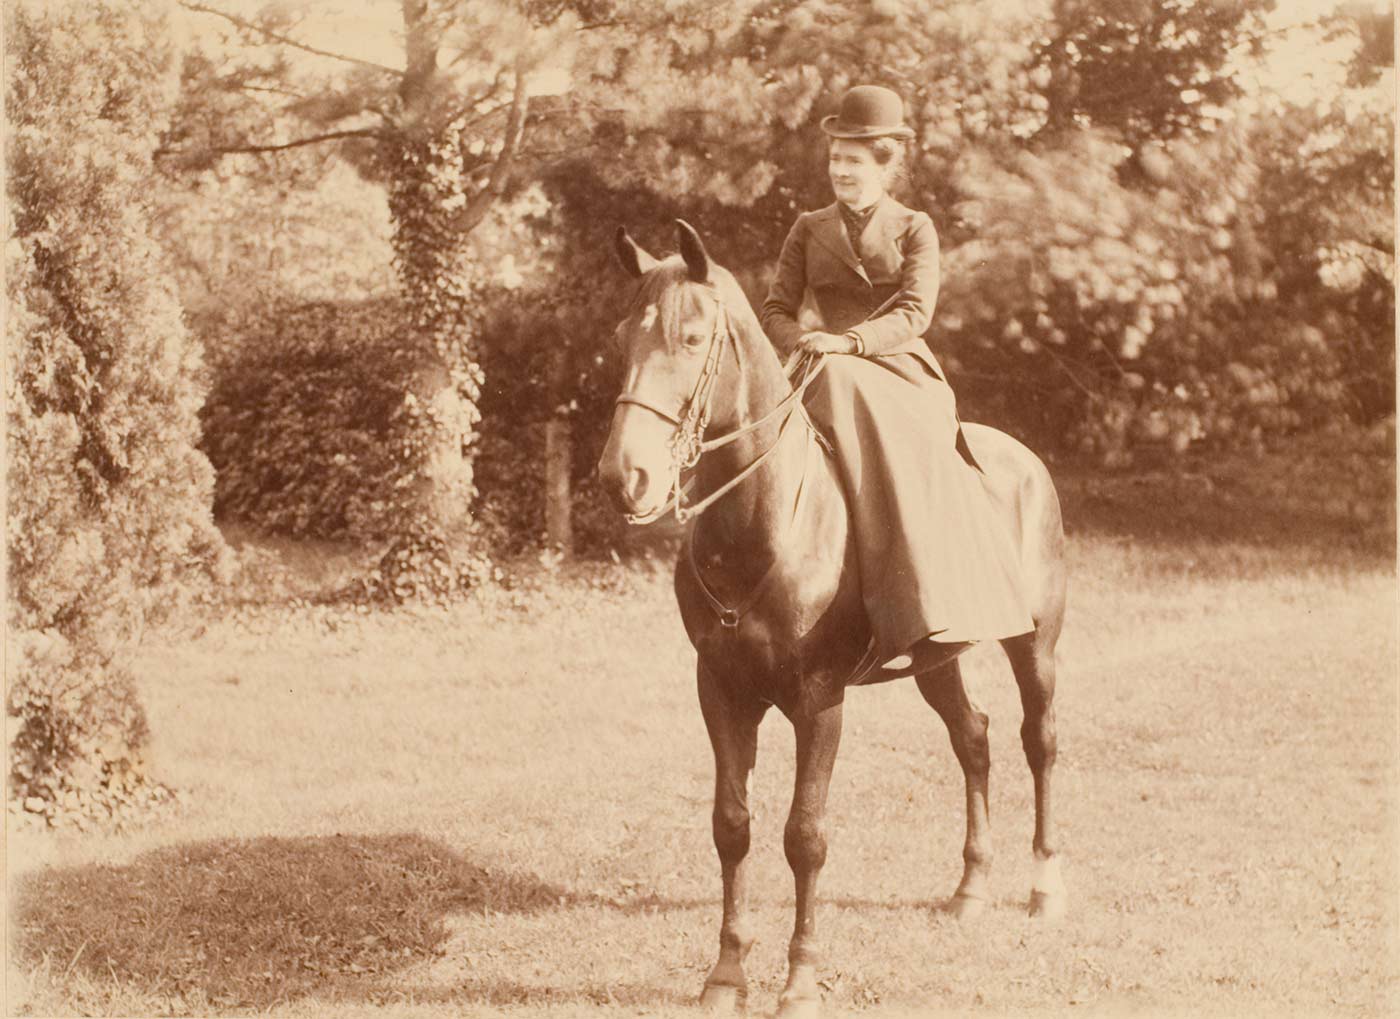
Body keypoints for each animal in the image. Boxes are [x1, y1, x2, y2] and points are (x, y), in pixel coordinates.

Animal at [597, 220, 1068, 1019]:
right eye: (626, 334)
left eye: (691, 339)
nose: (622, 477)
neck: (765, 524)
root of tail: (1027, 461)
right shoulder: (721, 691)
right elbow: (732, 826)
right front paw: (727, 973)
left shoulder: (819, 700)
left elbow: (805, 836)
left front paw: (800, 979)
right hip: (938, 659)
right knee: (973, 739)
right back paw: (971, 888)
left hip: (1034, 645)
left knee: (1039, 741)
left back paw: (1043, 886)